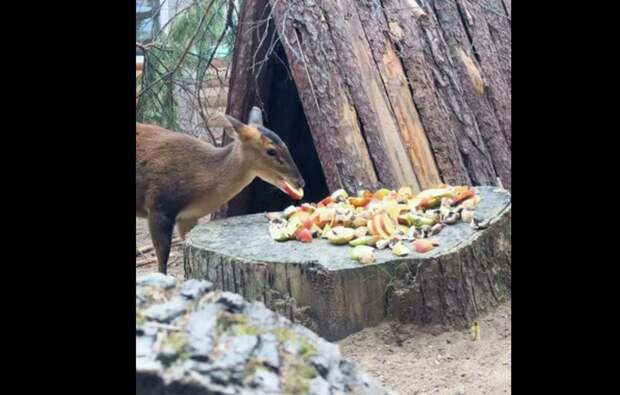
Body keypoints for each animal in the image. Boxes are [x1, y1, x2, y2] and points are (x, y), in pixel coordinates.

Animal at [136, 108, 306, 276]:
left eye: (285, 144)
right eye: (271, 151)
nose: (300, 181)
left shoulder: (188, 217)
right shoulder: (159, 205)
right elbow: (162, 256)